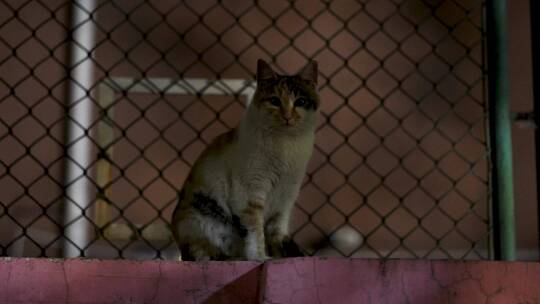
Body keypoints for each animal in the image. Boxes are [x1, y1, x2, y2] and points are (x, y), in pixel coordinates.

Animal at [171, 59, 318, 262]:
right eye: (274, 101)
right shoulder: (249, 194)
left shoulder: (286, 198)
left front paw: (284, 256)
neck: (286, 145)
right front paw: (261, 257)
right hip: (197, 220)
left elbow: (278, 233)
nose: (287, 116)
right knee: (206, 253)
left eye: (300, 102)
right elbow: (255, 232)